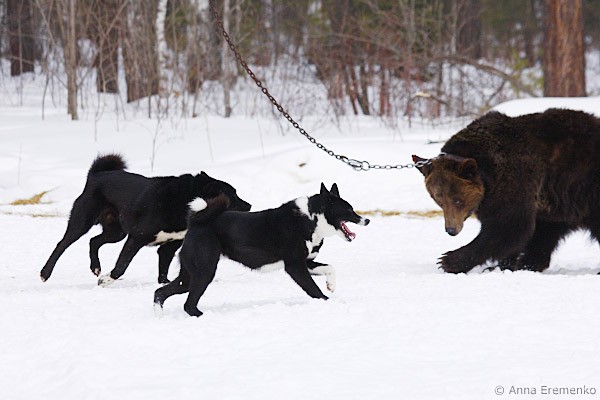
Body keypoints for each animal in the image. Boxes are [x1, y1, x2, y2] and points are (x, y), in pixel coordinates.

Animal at [40, 154, 251, 285]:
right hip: (82, 223)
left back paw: (96, 267)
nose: (249, 205)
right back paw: (45, 273)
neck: (183, 201)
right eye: (232, 196)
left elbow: (163, 268)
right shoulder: (136, 238)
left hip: (116, 232)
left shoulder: (170, 245)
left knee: (94, 241)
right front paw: (107, 280)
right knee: (62, 245)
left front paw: (165, 283)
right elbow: (122, 265)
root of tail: (97, 175)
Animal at [154, 183, 369, 317]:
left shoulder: (306, 262)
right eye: (348, 210)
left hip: (189, 276)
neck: (311, 219)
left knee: (160, 292)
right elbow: (314, 290)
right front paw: (329, 302)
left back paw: (159, 317)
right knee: (188, 305)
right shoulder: (295, 267)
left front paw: (331, 286)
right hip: (204, 273)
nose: (366, 220)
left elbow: (330, 268)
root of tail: (196, 223)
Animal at [412, 108, 600, 273]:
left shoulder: (514, 179)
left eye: (458, 200)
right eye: (439, 199)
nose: (451, 230)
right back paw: (529, 264)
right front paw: (501, 265)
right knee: (547, 233)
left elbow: (508, 225)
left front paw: (448, 260)